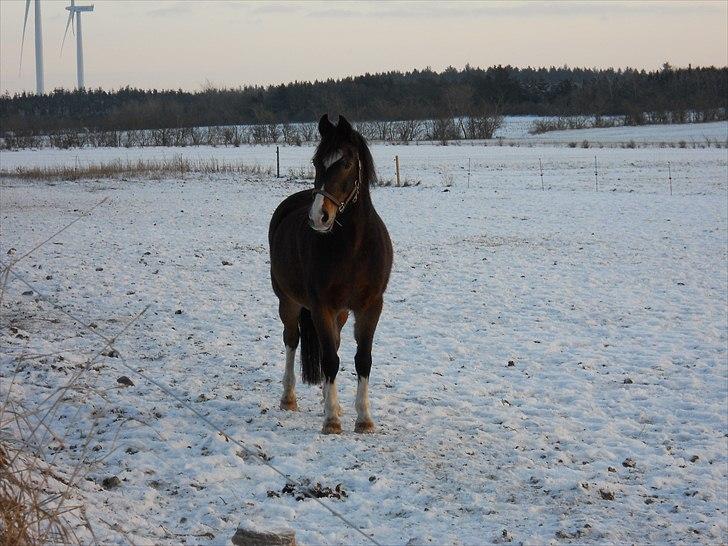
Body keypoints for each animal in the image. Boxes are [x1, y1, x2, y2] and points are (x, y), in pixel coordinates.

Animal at [268, 115, 392, 434]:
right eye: (316, 162)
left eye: (346, 163)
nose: (318, 216)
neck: (354, 247)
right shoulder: (321, 306)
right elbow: (329, 360)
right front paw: (332, 421)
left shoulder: (370, 307)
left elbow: (362, 360)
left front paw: (363, 418)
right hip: (288, 302)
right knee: (292, 339)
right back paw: (289, 398)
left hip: (341, 312)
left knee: (332, 345)